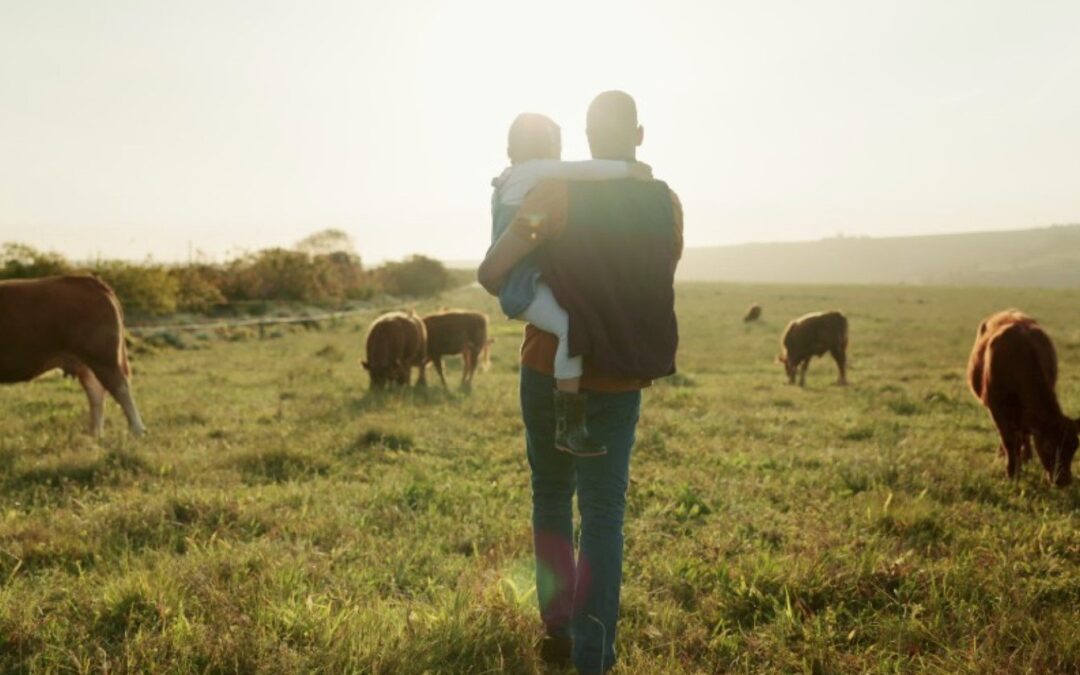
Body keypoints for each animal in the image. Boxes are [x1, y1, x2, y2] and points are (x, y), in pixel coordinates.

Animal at [0, 274, 145, 436]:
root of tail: (90, 281)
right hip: (86, 363)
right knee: (96, 392)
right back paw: (95, 434)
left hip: (103, 357)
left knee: (121, 388)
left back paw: (137, 431)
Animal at [967, 311, 1075, 483]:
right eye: (1048, 446)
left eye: (1074, 447)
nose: (1063, 480)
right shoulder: (997, 409)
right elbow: (1009, 441)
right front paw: (1011, 472)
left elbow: (1022, 436)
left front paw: (1021, 462)